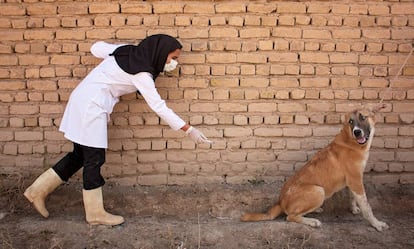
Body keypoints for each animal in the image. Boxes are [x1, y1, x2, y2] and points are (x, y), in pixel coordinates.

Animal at [241, 109, 390, 231]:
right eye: (351, 122)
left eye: (363, 117)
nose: (357, 132)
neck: (350, 141)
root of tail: (280, 201)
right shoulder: (356, 180)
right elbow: (367, 207)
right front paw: (376, 224)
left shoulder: (353, 181)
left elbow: (352, 197)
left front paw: (353, 209)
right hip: (318, 190)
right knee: (290, 216)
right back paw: (312, 221)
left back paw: (315, 210)